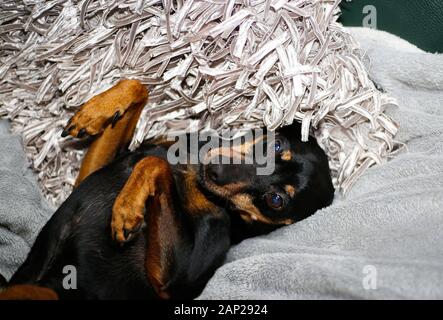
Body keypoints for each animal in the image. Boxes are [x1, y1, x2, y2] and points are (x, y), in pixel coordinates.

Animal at [0, 79, 332, 298]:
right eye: (277, 145)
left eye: (275, 200)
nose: (214, 170)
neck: (190, 171)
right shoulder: (90, 174)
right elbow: (139, 87)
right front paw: (95, 112)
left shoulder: (170, 280)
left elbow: (153, 163)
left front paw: (127, 209)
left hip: (44, 293)